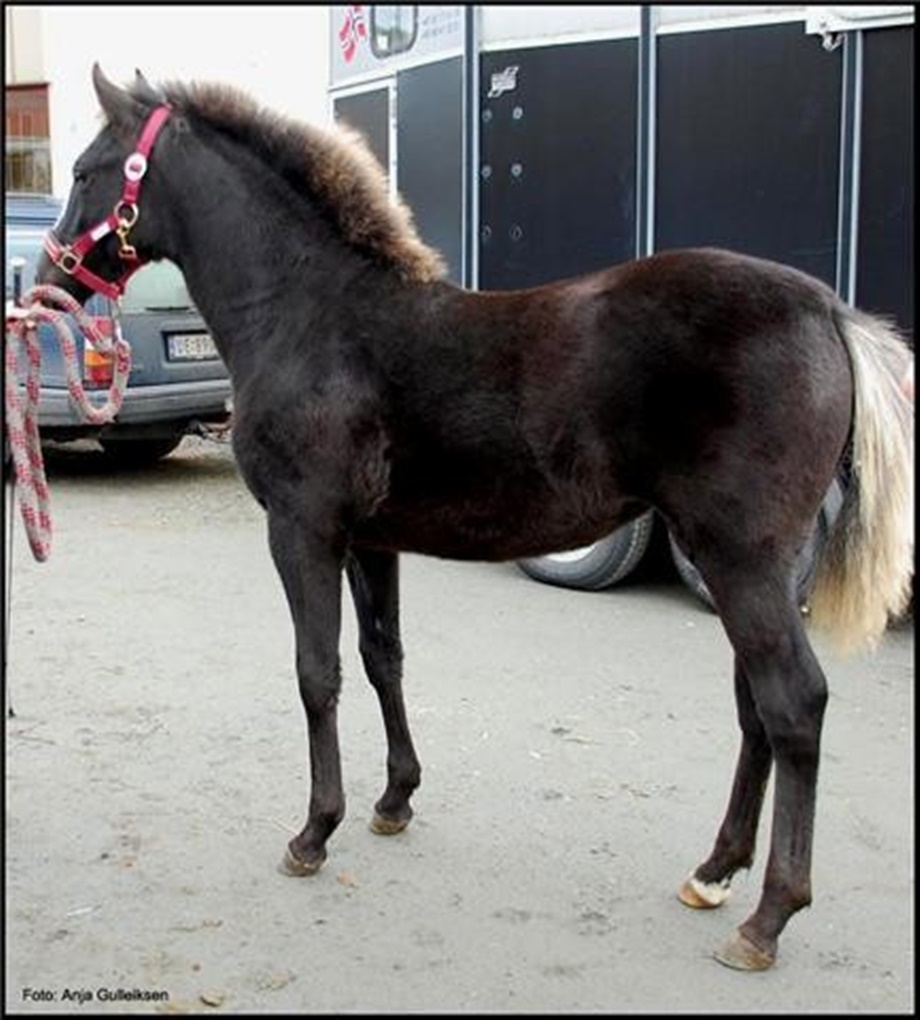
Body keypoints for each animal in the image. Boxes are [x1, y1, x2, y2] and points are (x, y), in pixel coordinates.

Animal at [36, 65, 913, 972]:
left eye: (85, 171)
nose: (49, 278)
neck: (310, 314)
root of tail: (827, 310)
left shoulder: (302, 528)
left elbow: (317, 672)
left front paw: (315, 831)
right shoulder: (369, 539)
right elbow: (382, 658)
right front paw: (395, 799)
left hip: (742, 560)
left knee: (793, 704)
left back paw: (768, 916)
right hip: (744, 563)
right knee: (755, 710)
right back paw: (713, 873)